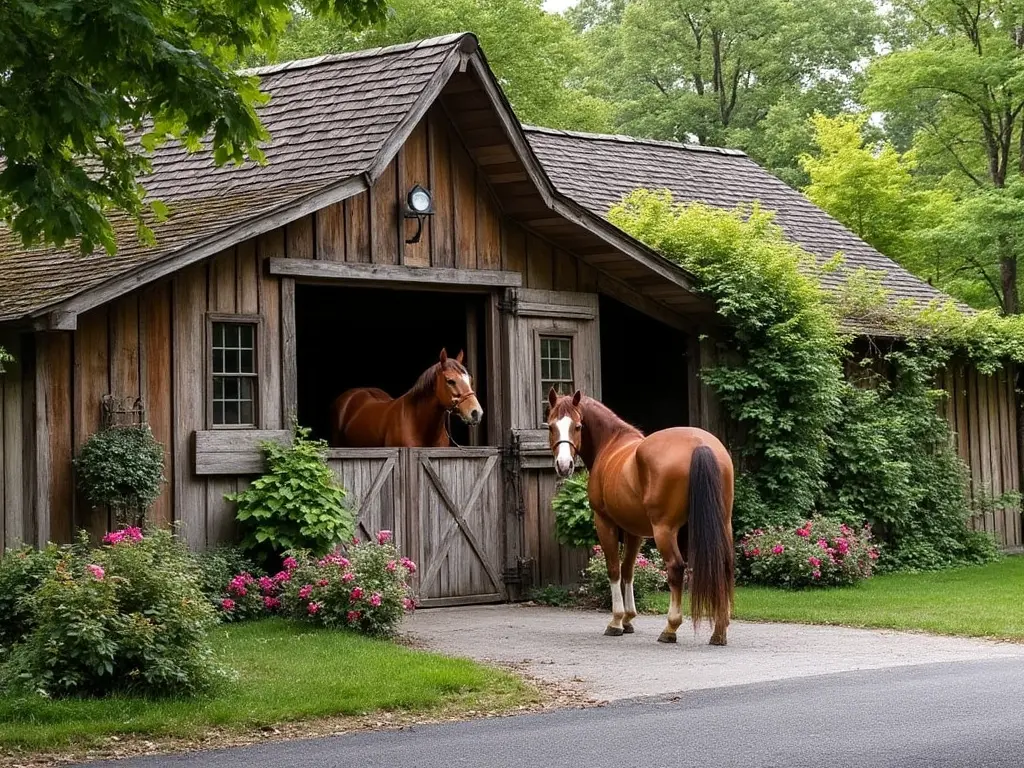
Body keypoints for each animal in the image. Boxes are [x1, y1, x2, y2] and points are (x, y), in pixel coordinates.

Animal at [548, 387, 733, 647]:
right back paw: (719, 630)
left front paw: (616, 621)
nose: (564, 465)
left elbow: (614, 569)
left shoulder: (604, 523)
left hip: (664, 530)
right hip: (722, 523)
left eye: (578, 426)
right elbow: (628, 570)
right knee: (724, 565)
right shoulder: (634, 531)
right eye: (551, 426)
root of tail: (700, 444)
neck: (611, 443)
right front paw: (628, 619)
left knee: (676, 568)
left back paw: (670, 628)